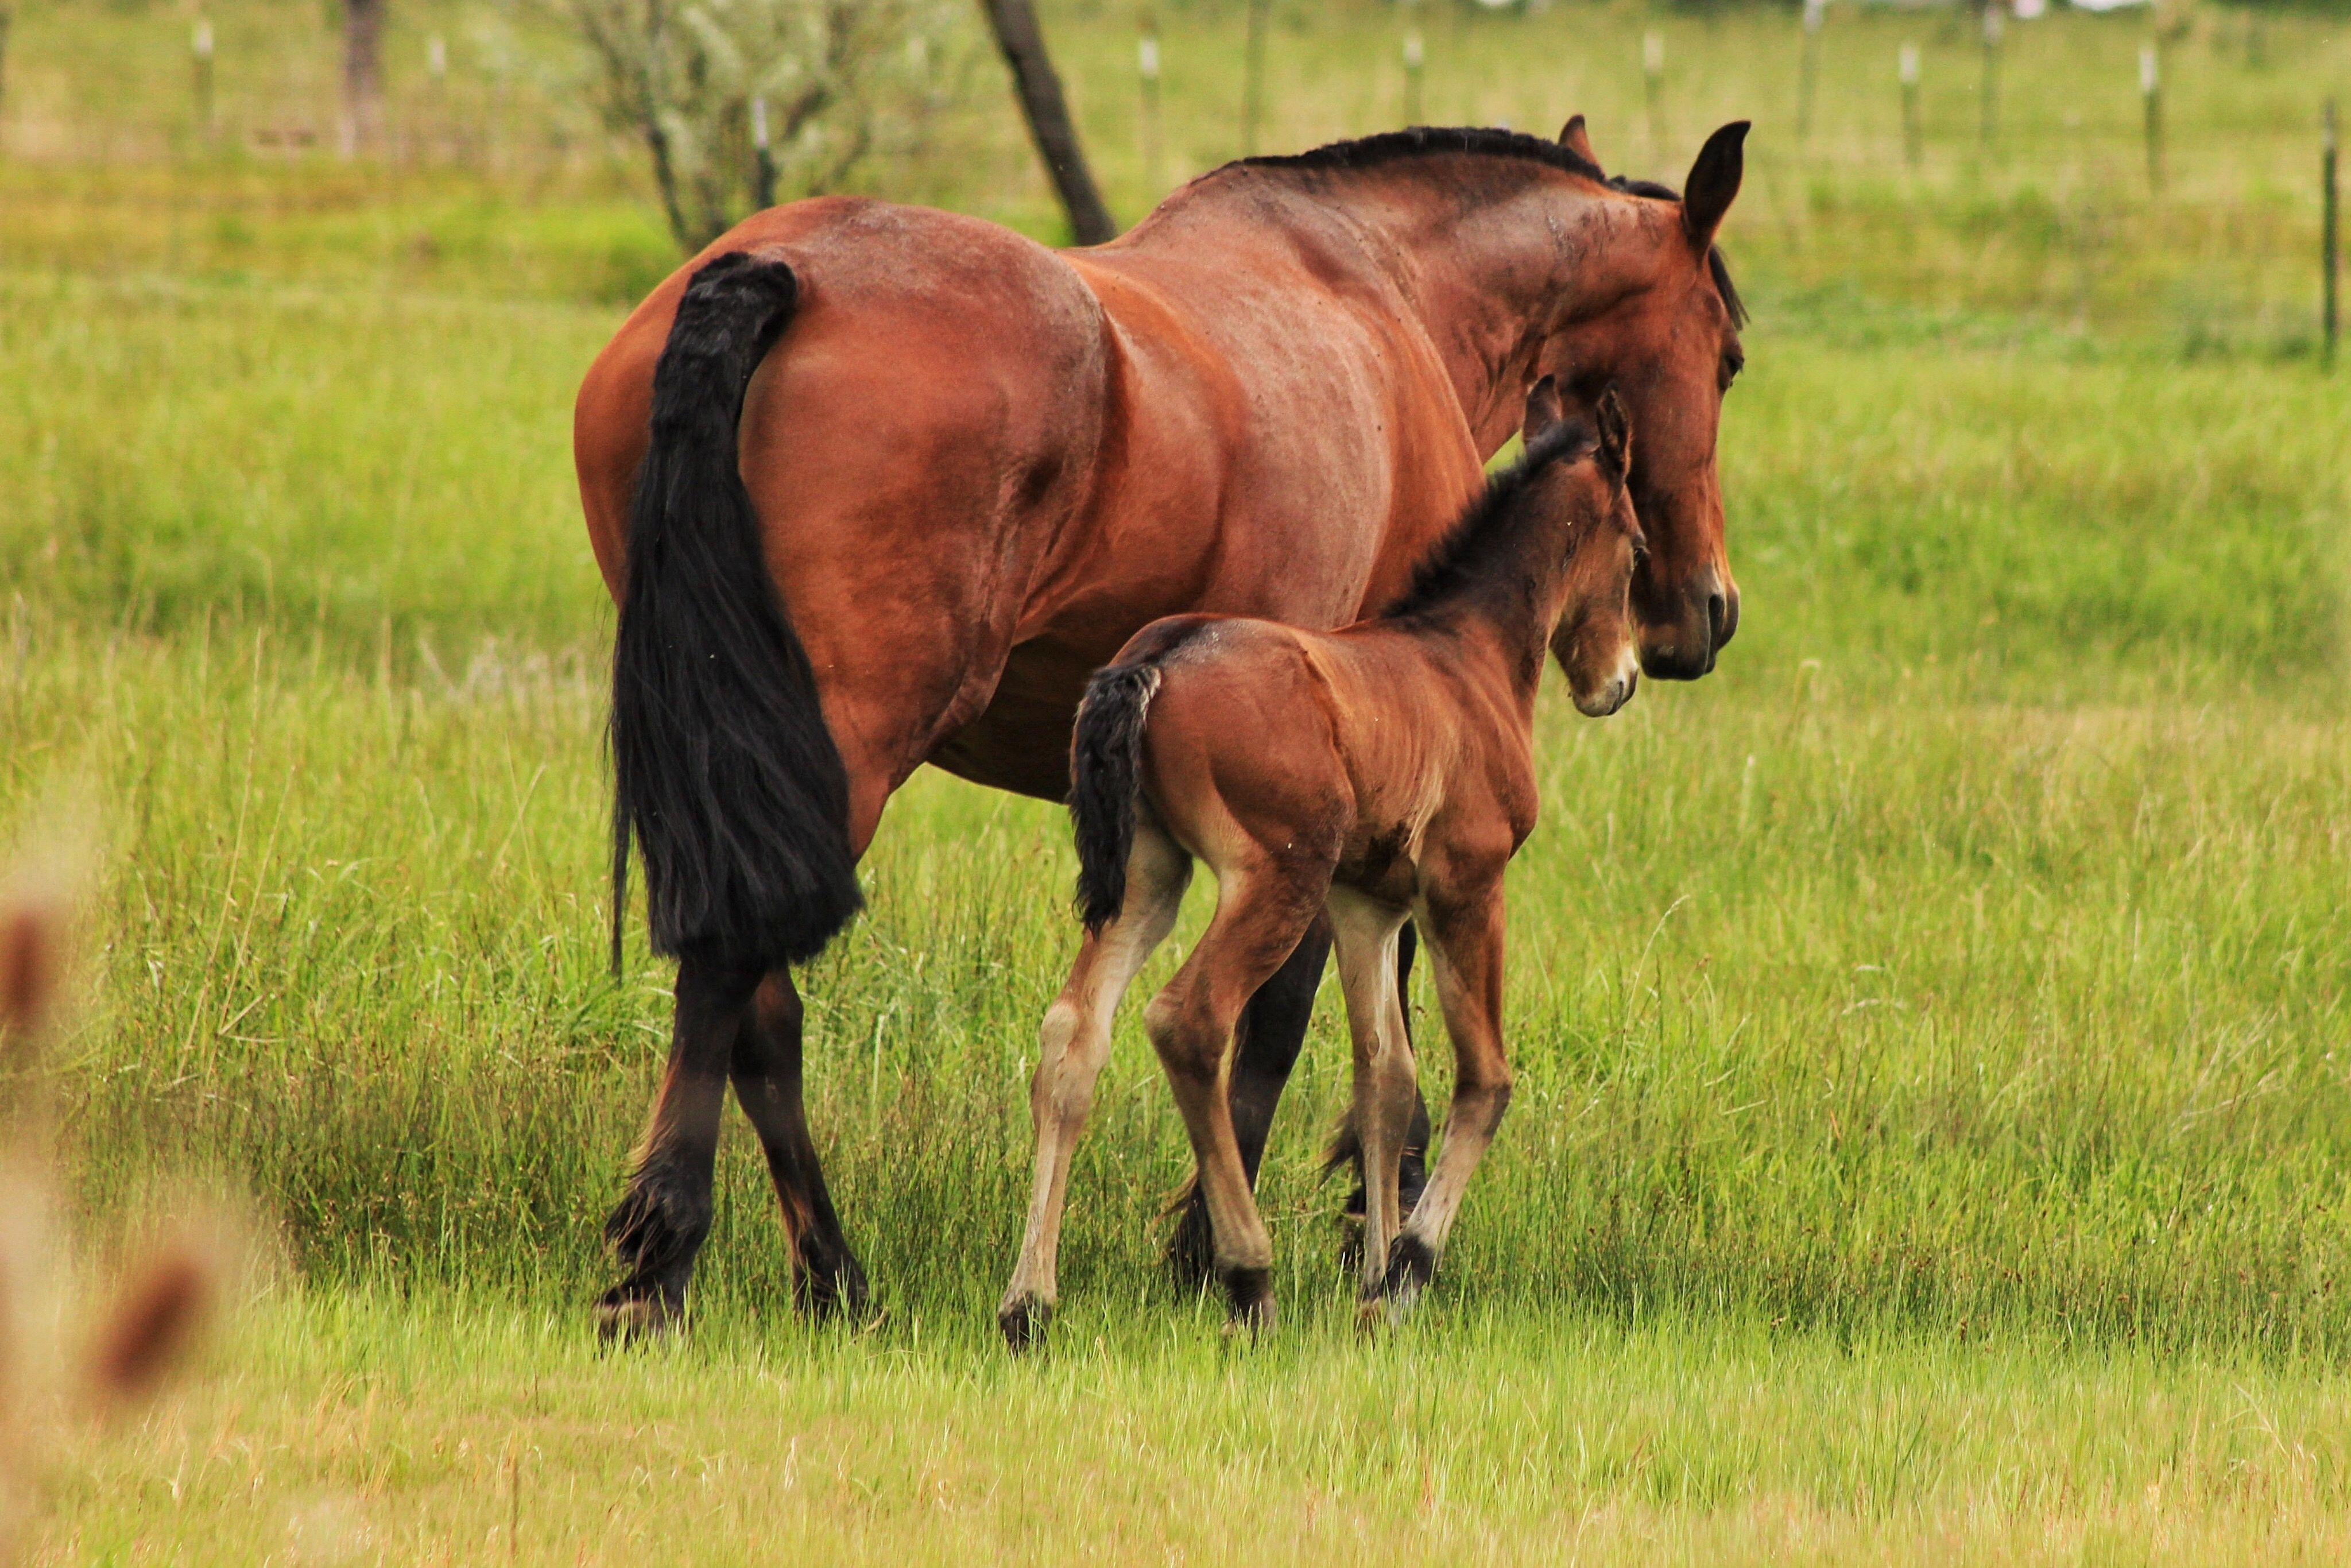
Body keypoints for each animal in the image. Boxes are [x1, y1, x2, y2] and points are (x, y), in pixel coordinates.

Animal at [1001, 383, 1645, 1354]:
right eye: (1638, 546)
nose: (1618, 682)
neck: (1466, 655)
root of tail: (1154, 657)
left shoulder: (1367, 904)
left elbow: (1384, 1079)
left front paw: (1372, 1273)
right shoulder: (1465, 883)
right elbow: (1484, 1076)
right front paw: (1405, 1273)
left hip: (1151, 874)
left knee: (1073, 1032)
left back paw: (1028, 1305)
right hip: (1276, 874)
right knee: (1189, 1019)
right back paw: (1247, 1277)